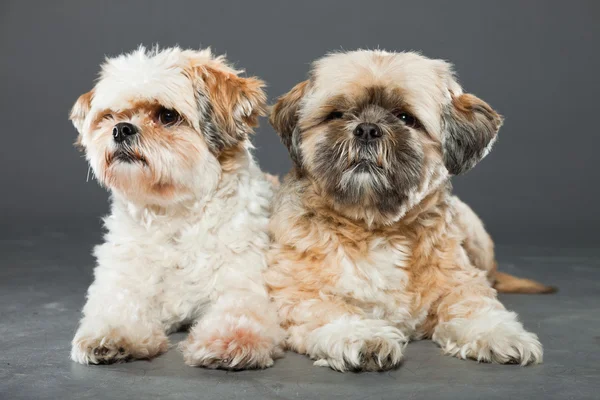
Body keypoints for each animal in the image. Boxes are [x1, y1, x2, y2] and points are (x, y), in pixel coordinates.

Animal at [69, 46, 284, 368]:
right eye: (110, 116)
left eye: (167, 115)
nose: (121, 129)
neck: (174, 215)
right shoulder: (122, 279)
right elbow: (118, 306)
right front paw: (112, 335)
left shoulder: (242, 282)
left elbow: (239, 310)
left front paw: (232, 341)